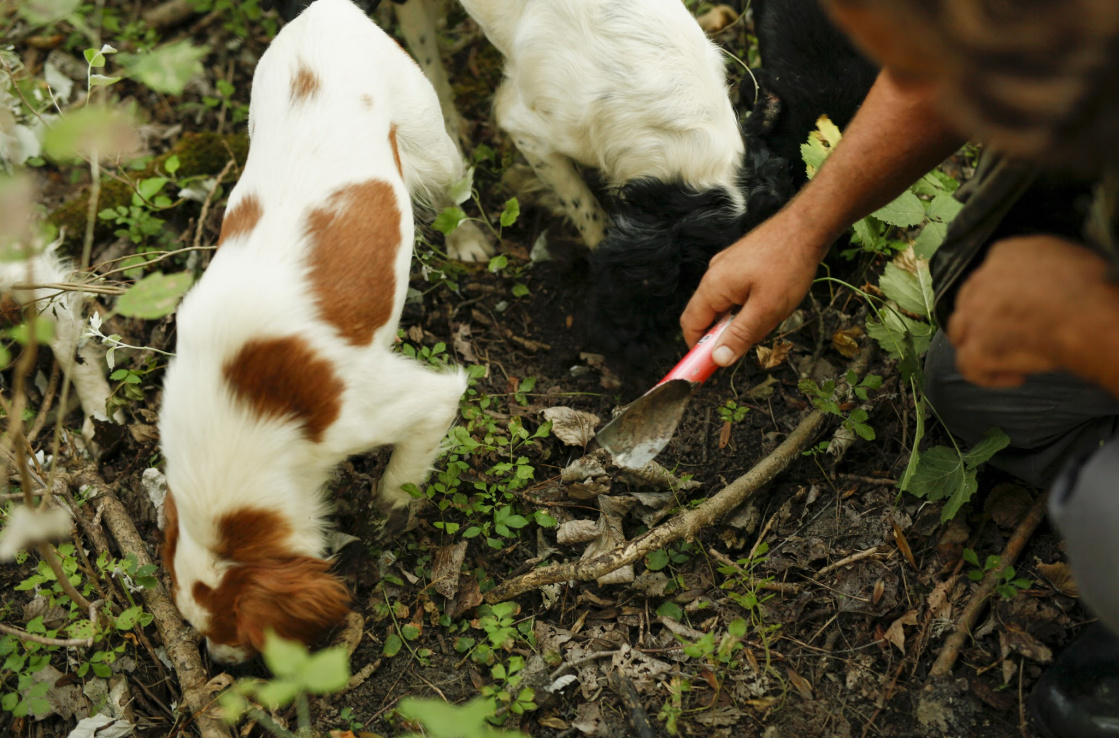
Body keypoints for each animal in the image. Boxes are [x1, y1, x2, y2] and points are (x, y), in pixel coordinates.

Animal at [160, 0, 465, 661]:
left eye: (239, 636)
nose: (219, 663)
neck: (244, 409)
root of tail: (326, 9)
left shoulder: (401, 404)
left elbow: (402, 479)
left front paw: (386, 518)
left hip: (430, 139)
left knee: (456, 187)